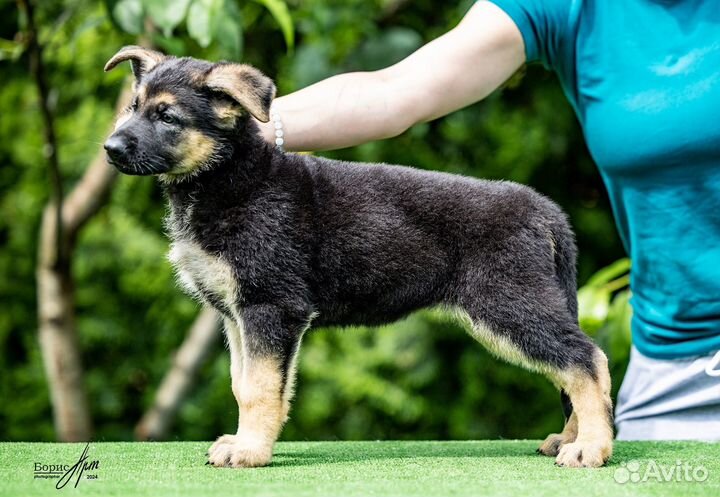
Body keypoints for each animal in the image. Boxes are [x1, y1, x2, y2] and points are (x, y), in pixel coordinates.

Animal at [104, 45, 612, 464]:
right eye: (131, 108)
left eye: (167, 117)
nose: (109, 148)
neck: (228, 177)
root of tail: (545, 210)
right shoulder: (236, 316)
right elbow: (241, 382)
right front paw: (244, 441)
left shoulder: (271, 307)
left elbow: (260, 388)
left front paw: (250, 451)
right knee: (574, 363)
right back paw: (570, 438)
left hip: (509, 303)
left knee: (585, 359)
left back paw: (590, 446)